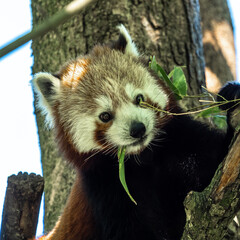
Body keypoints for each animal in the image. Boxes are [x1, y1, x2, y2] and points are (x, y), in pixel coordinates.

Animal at [32, 24, 240, 240]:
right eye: (105, 116)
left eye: (139, 99)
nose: (138, 129)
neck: (146, 158)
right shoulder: (108, 187)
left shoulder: (183, 143)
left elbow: (215, 169)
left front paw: (233, 99)